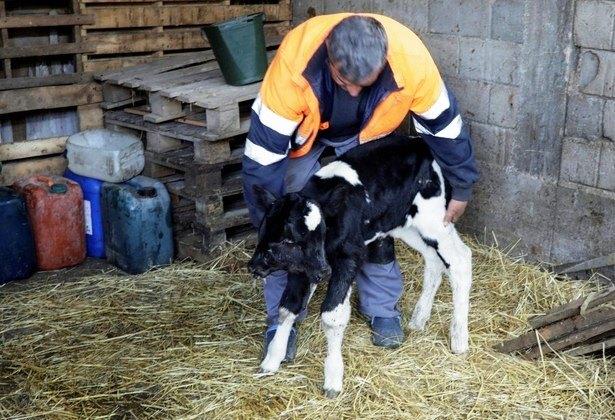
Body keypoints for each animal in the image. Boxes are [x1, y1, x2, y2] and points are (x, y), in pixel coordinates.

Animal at [248, 135, 474, 398]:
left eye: (289, 240)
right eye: (265, 230)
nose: (254, 265)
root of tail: (421, 143)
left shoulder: (348, 257)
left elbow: (332, 316)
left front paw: (333, 380)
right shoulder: (301, 268)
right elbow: (287, 308)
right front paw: (271, 361)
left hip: (436, 220)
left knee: (460, 260)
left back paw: (459, 339)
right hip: (404, 224)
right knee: (434, 260)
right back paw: (419, 321)